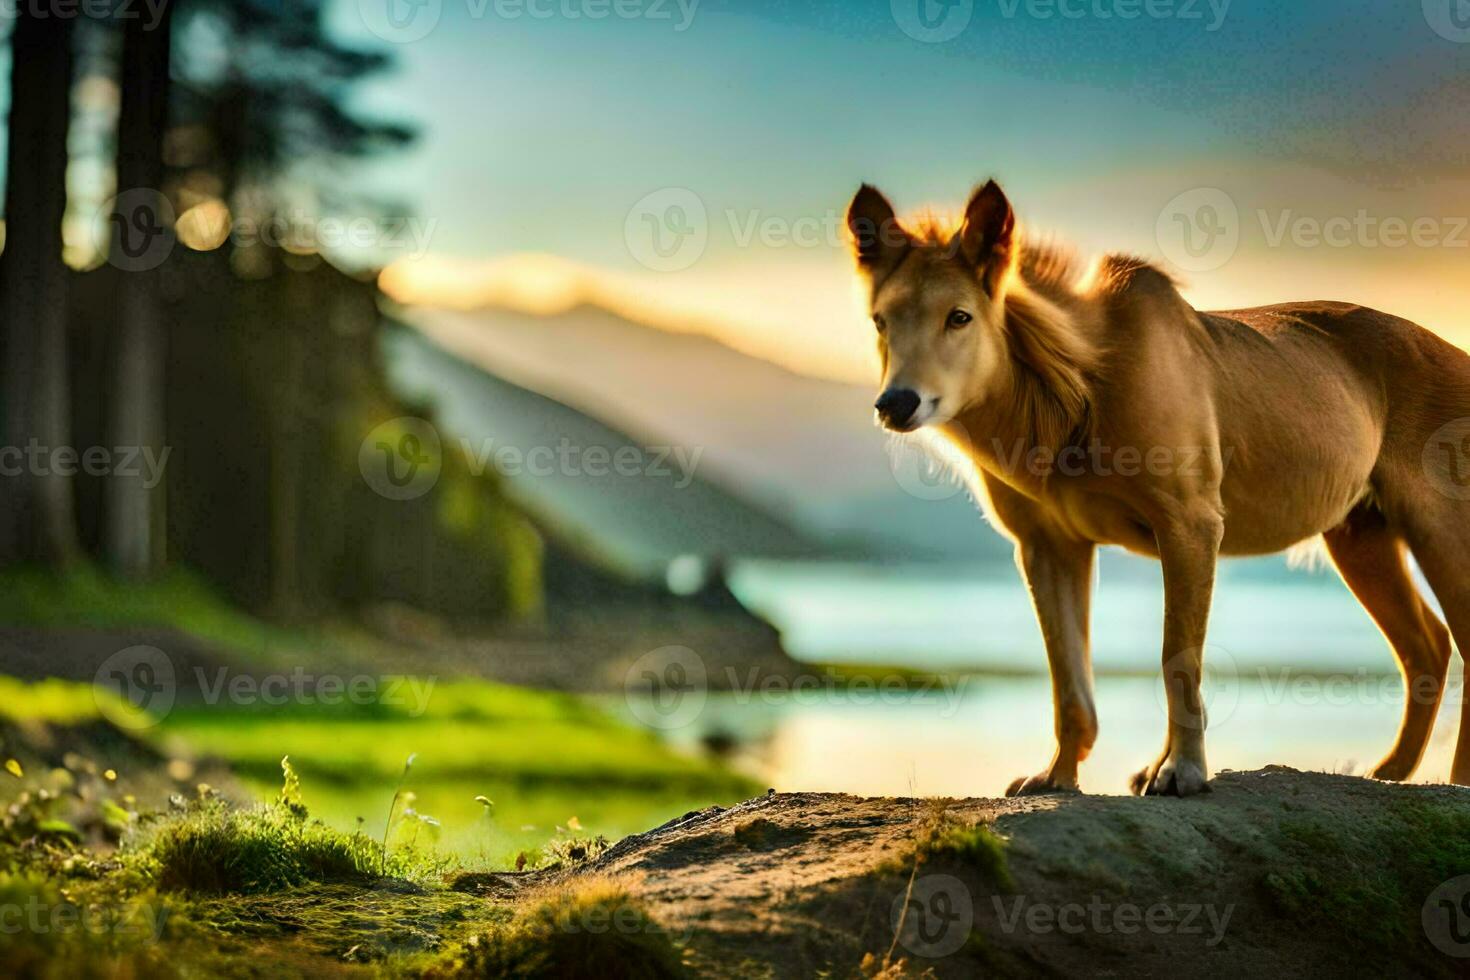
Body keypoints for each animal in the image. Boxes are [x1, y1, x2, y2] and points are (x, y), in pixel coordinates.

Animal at [846, 179, 1470, 799]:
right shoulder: (1047, 545)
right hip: (1359, 538)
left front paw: (1181, 770)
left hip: (1440, 531)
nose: (896, 403)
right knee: (1427, 647)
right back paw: (1389, 772)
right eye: (880, 321)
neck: (1071, 399)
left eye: (959, 316)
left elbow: (1178, 659)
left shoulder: (1191, 523)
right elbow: (1068, 679)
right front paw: (1059, 775)